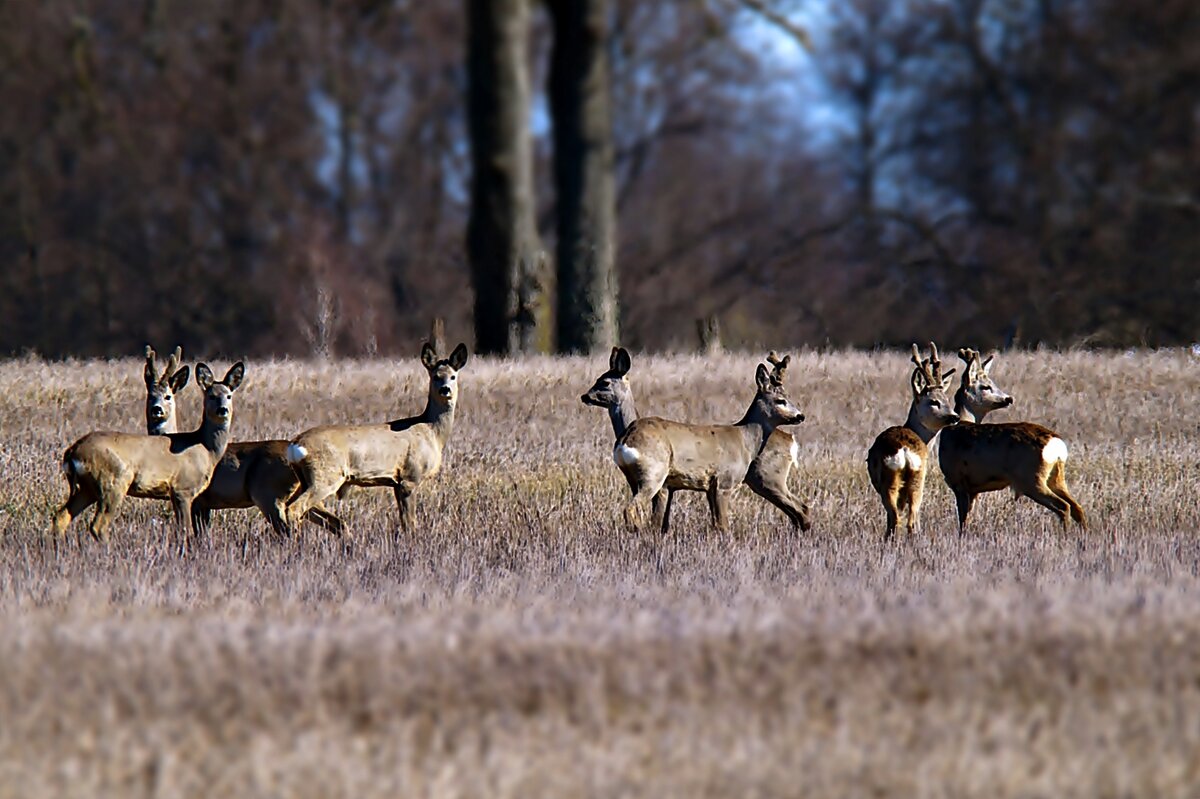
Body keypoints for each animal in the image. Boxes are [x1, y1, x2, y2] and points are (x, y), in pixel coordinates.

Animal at [52, 359, 244, 542]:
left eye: (228, 395)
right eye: (211, 395)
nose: (222, 410)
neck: (205, 448)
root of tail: (72, 452)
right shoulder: (182, 489)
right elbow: (185, 531)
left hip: (85, 488)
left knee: (60, 517)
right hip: (112, 482)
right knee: (98, 525)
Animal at [283, 338, 465, 532]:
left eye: (453, 376)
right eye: (435, 376)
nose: (445, 389)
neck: (431, 431)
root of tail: (296, 443)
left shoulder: (396, 482)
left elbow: (403, 520)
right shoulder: (410, 476)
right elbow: (410, 523)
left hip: (305, 479)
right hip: (324, 475)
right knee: (295, 508)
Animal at [578, 347, 811, 527]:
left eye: (604, 382)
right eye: (781, 400)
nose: (800, 415)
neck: (744, 438)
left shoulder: (697, 486)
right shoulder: (721, 482)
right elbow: (717, 525)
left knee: (800, 509)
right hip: (657, 473)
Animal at [868, 338, 960, 537]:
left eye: (947, 400)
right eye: (934, 401)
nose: (955, 417)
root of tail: (904, 450)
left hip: (891, 481)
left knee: (897, 519)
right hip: (917, 479)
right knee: (909, 519)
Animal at [936, 347, 1089, 527]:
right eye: (986, 387)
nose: (1008, 398)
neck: (955, 427)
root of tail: (1056, 444)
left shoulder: (959, 482)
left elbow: (962, 521)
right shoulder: (973, 488)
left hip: (1031, 478)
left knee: (1064, 507)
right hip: (1056, 477)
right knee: (1077, 508)